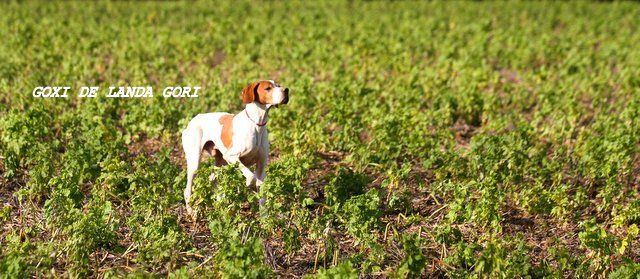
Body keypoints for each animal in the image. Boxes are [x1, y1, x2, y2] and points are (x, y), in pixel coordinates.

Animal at [181, 80, 288, 215]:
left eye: (278, 85)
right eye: (268, 88)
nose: (286, 90)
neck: (256, 124)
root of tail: (193, 120)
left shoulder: (261, 166)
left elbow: (262, 194)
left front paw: (264, 217)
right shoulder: (232, 157)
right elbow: (251, 177)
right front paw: (249, 185)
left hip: (221, 162)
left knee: (212, 178)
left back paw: (220, 202)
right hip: (195, 163)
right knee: (187, 189)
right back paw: (191, 211)